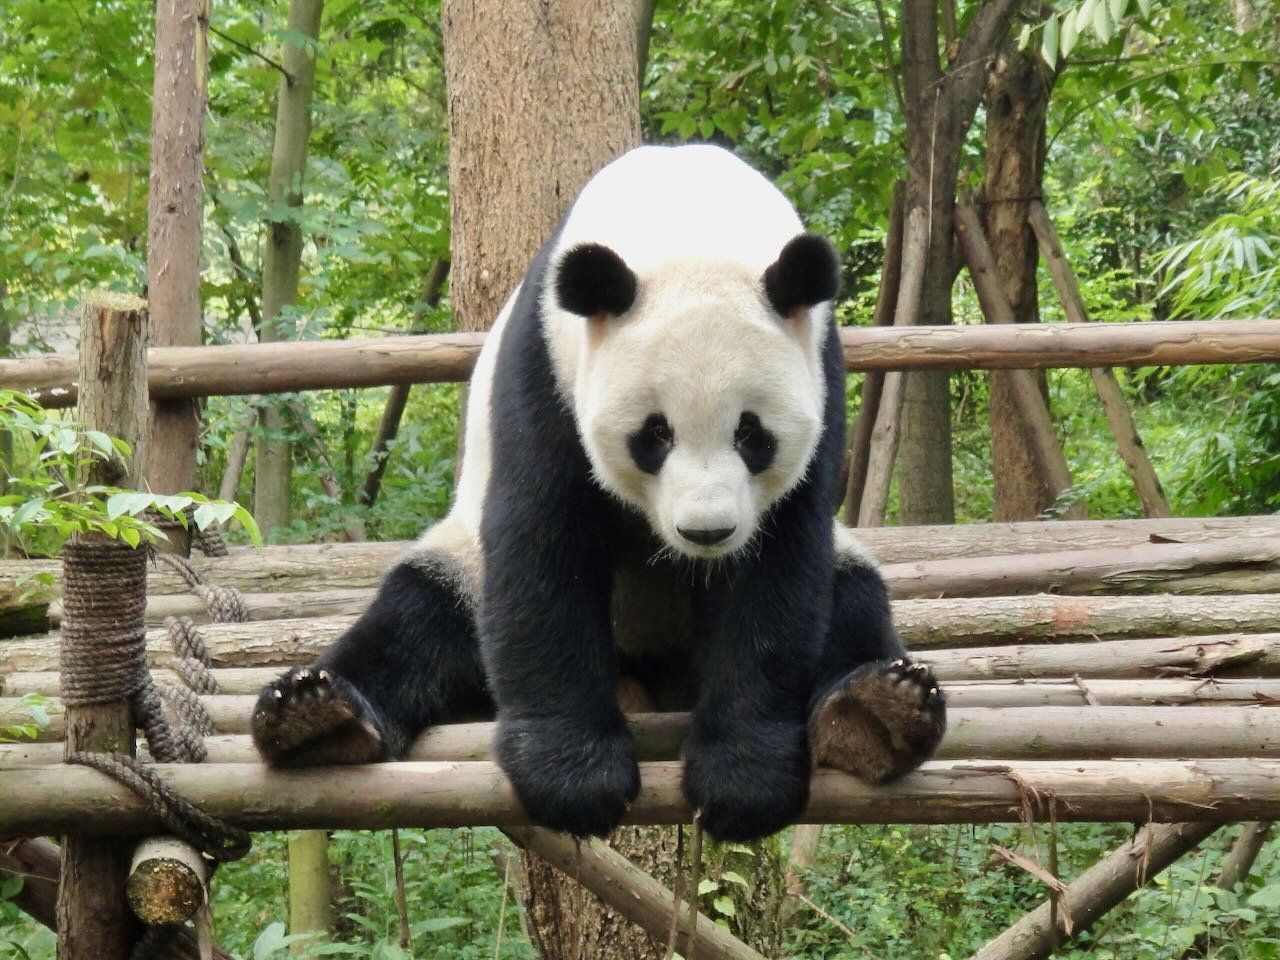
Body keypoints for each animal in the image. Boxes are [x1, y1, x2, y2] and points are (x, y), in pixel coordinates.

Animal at [251, 144, 946, 842]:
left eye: (752, 435)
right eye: (654, 434)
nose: (707, 533)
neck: (688, 211)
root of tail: (651, 681)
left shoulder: (821, 376)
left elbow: (777, 570)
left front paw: (745, 781)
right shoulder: (546, 372)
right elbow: (542, 545)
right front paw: (574, 782)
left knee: (854, 598)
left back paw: (879, 712)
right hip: (462, 568)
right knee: (417, 617)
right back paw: (316, 716)